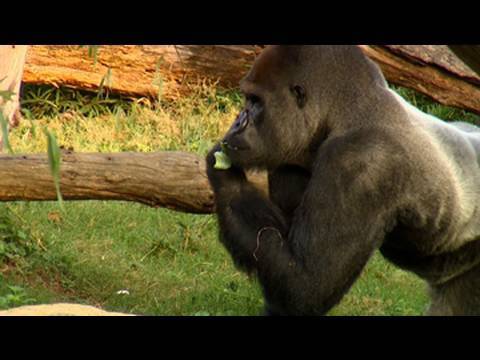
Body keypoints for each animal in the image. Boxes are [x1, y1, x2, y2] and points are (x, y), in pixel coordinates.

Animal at [207, 44, 480, 316]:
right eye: (248, 99)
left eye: (255, 101)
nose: (237, 122)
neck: (347, 113)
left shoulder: (358, 161)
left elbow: (306, 284)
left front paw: (224, 174)